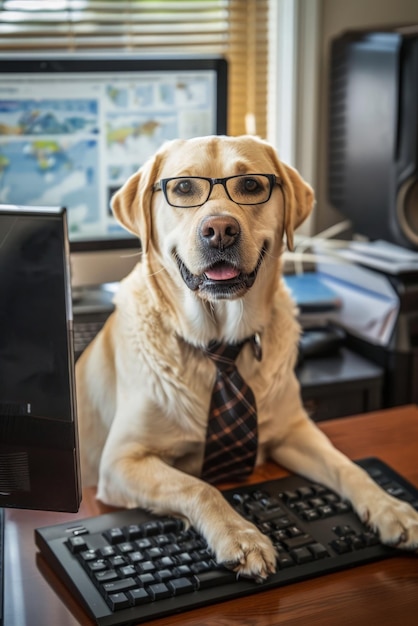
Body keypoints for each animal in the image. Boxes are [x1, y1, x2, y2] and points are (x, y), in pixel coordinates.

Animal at [76, 134, 418, 576]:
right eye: (183, 187)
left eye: (252, 185)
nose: (220, 230)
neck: (221, 344)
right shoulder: (121, 461)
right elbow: (199, 486)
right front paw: (241, 535)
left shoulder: (295, 430)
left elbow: (349, 465)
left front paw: (391, 507)